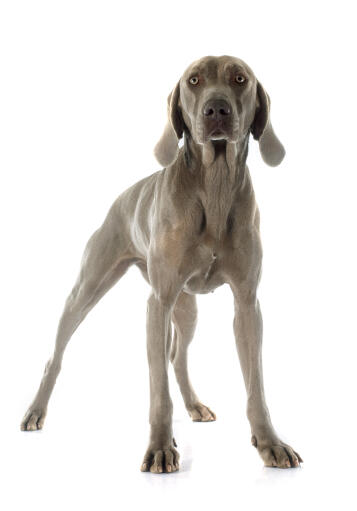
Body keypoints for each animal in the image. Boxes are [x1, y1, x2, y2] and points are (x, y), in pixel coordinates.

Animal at [21, 55, 300, 472]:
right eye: (194, 80)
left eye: (240, 78)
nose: (216, 110)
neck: (214, 187)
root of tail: (121, 198)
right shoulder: (158, 302)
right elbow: (158, 390)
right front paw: (159, 448)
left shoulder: (247, 304)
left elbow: (256, 385)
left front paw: (269, 442)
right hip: (88, 288)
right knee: (56, 355)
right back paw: (36, 411)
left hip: (186, 308)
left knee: (177, 357)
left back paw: (195, 405)